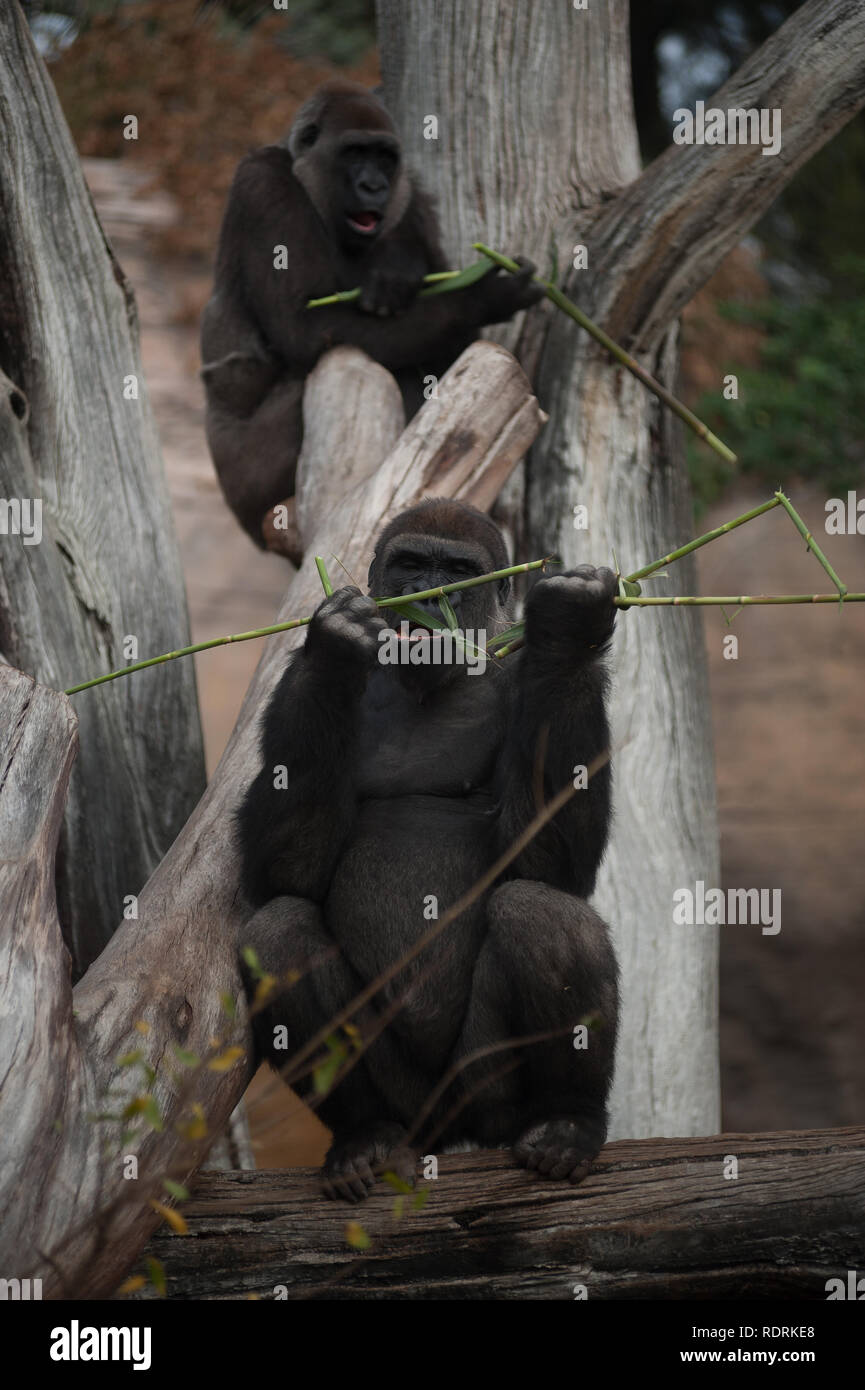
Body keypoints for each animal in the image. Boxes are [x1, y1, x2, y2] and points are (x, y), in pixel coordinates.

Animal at [201, 79, 542, 547]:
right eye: (354, 153)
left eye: (384, 157)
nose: (374, 186)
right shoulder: (261, 185)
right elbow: (309, 329)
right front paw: (486, 294)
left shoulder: (413, 194)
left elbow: (451, 338)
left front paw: (397, 276)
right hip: (247, 488)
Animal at [235, 503, 617, 1206]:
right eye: (410, 564)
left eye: (459, 571)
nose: (426, 596)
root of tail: (448, 1131)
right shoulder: (291, 686)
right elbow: (283, 874)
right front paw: (339, 644)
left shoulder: (521, 668)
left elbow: (548, 866)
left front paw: (571, 625)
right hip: (410, 1104)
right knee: (276, 934)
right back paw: (364, 1134)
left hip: (486, 1095)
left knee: (543, 912)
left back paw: (567, 1120)